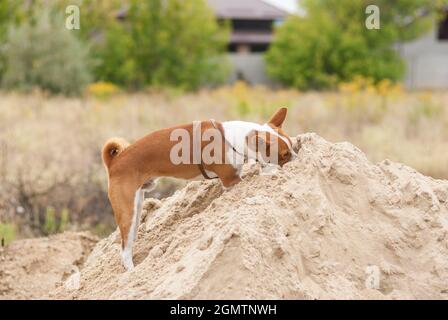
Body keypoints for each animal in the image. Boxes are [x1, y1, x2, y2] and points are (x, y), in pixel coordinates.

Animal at [102, 107, 298, 270]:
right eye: (284, 154)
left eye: (292, 146)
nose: (297, 158)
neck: (231, 138)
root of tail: (115, 161)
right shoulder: (231, 180)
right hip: (128, 211)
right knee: (124, 250)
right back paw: (132, 271)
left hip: (137, 207)